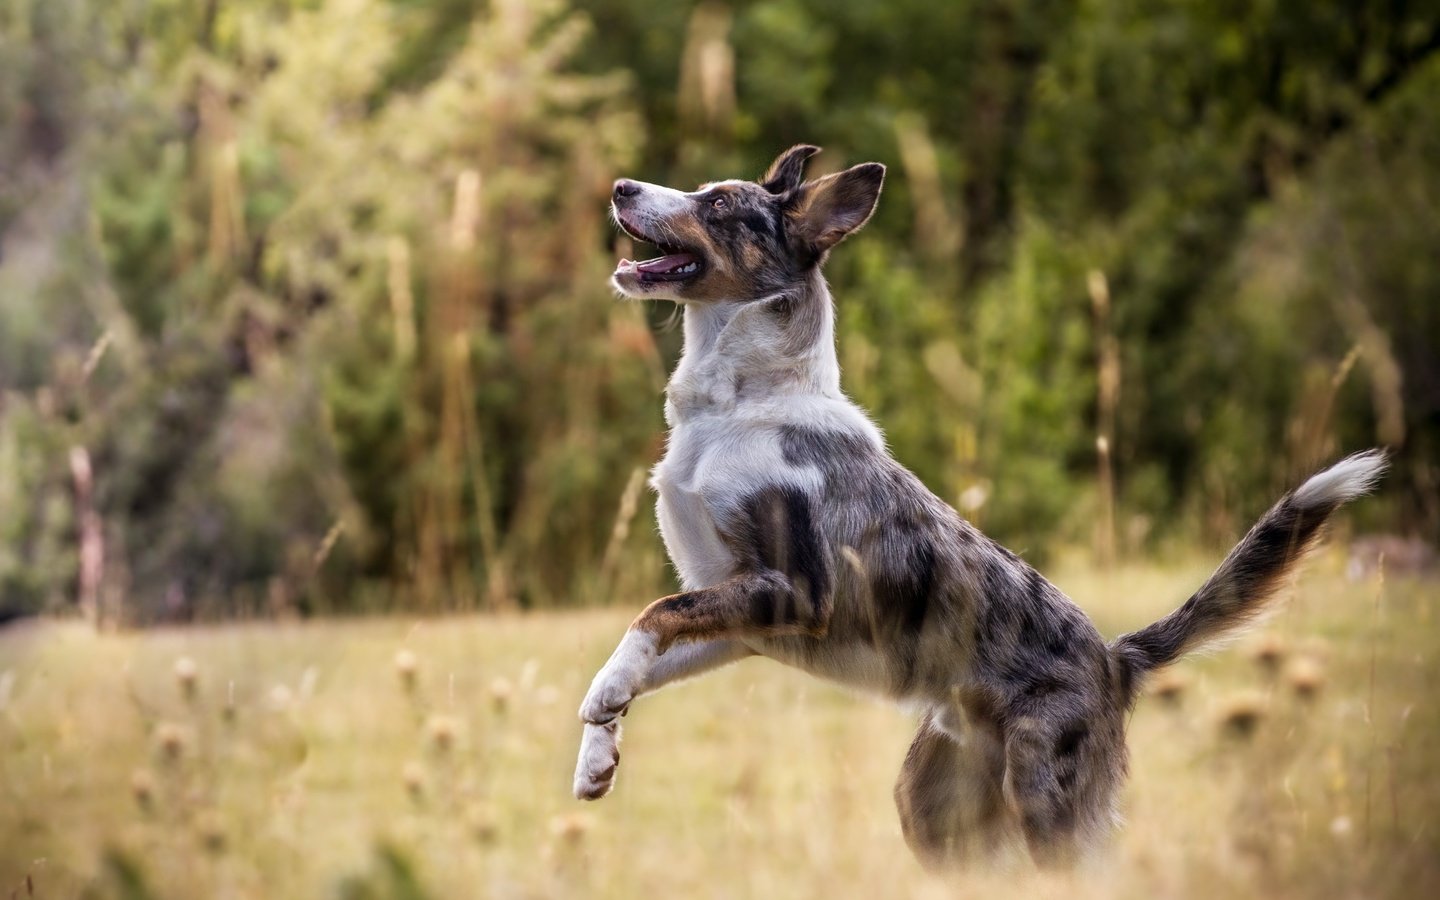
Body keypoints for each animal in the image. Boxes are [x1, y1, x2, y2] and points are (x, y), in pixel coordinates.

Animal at [570, 144, 1382, 869]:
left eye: (715, 204)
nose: (619, 186)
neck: (740, 407)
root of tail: (1114, 659)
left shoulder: (796, 591)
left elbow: (651, 614)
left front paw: (602, 699)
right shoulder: (740, 614)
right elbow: (652, 643)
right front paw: (598, 749)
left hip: (1049, 803)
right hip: (935, 810)